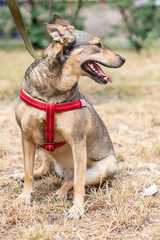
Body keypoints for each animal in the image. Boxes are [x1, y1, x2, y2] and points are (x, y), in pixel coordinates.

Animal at [14, 15, 125, 219]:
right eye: (98, 44)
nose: (123, 59)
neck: (53, 91)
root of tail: (64, 170)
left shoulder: (78, 142)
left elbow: (79, 183)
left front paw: (78, 208)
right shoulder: (27, 135)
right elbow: (28, 172)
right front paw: (25, 197)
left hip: (104, 168)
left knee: (72, 179)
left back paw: (61, 192)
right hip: (40, 145)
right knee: (46, 169)